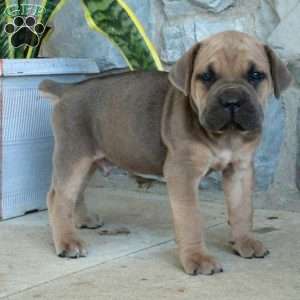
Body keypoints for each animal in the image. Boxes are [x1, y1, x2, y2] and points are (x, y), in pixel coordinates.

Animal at [38, 31, 292, 276]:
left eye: (256, 75)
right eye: (207, 77)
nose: (231, 101)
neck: (225, 137)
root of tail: (68, 89)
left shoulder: (240, 169)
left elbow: (242, 210)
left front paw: (245, 242)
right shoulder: (183, 173)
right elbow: (190, 220)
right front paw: (197, 258)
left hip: (87, 160)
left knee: (76, 192)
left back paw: (83, 221)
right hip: (73, 155)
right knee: (58, 197)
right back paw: (68, 242)